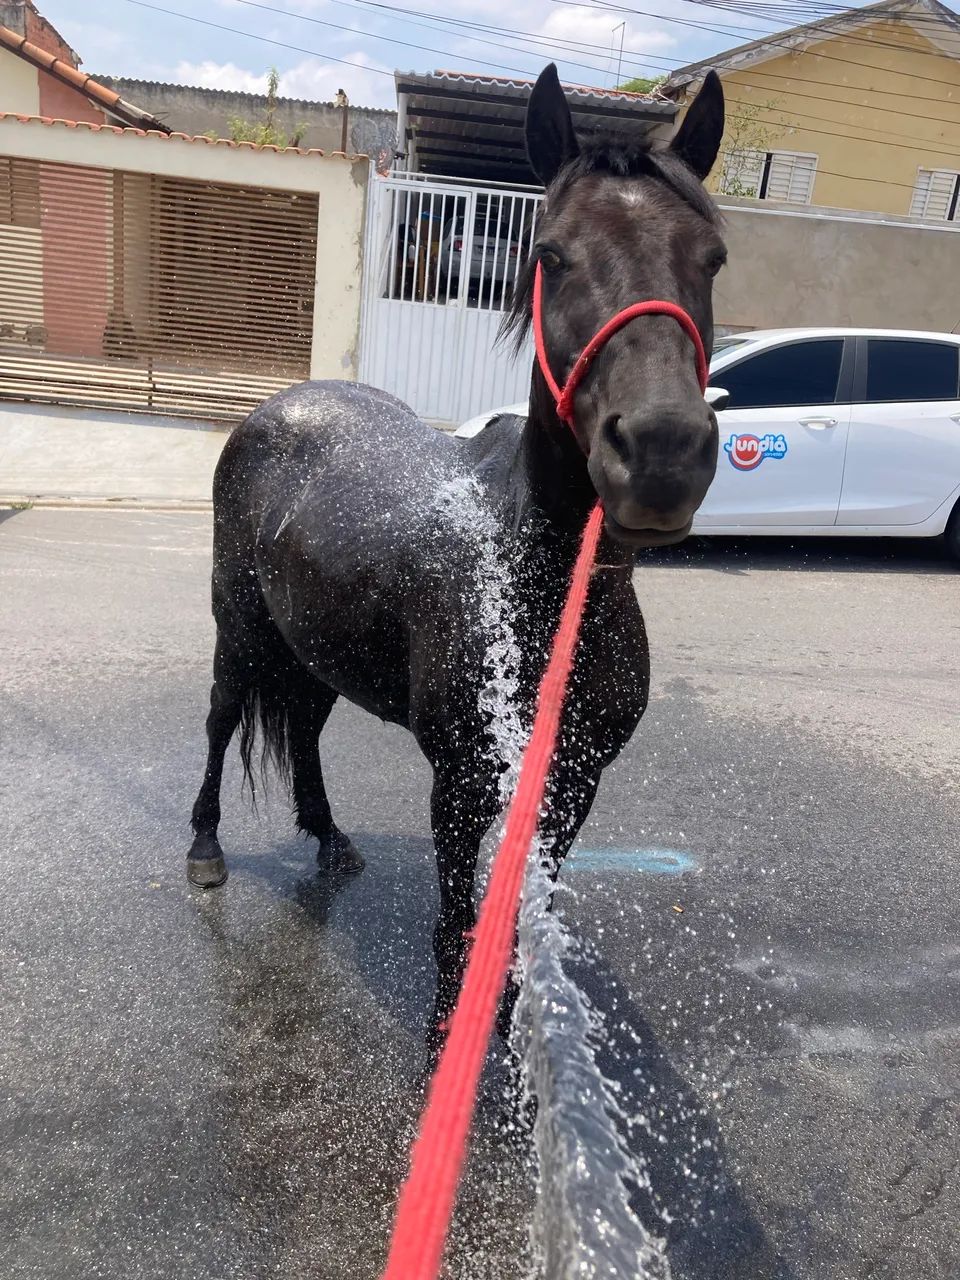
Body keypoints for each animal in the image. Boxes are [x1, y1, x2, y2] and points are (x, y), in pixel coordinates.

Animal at [186, 64, 727, 1039]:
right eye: (551, 255)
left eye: (712, 258)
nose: (663, 454)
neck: (527, 585)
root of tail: (278, 407)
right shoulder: (462, 787)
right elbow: (457, 931)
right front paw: (451, 1041)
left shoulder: (569, 789)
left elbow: (519, 923)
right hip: (237, 626)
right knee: (218, 721)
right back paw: (205, 847)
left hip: (315, 649)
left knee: (307, 733)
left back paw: (331, 840)